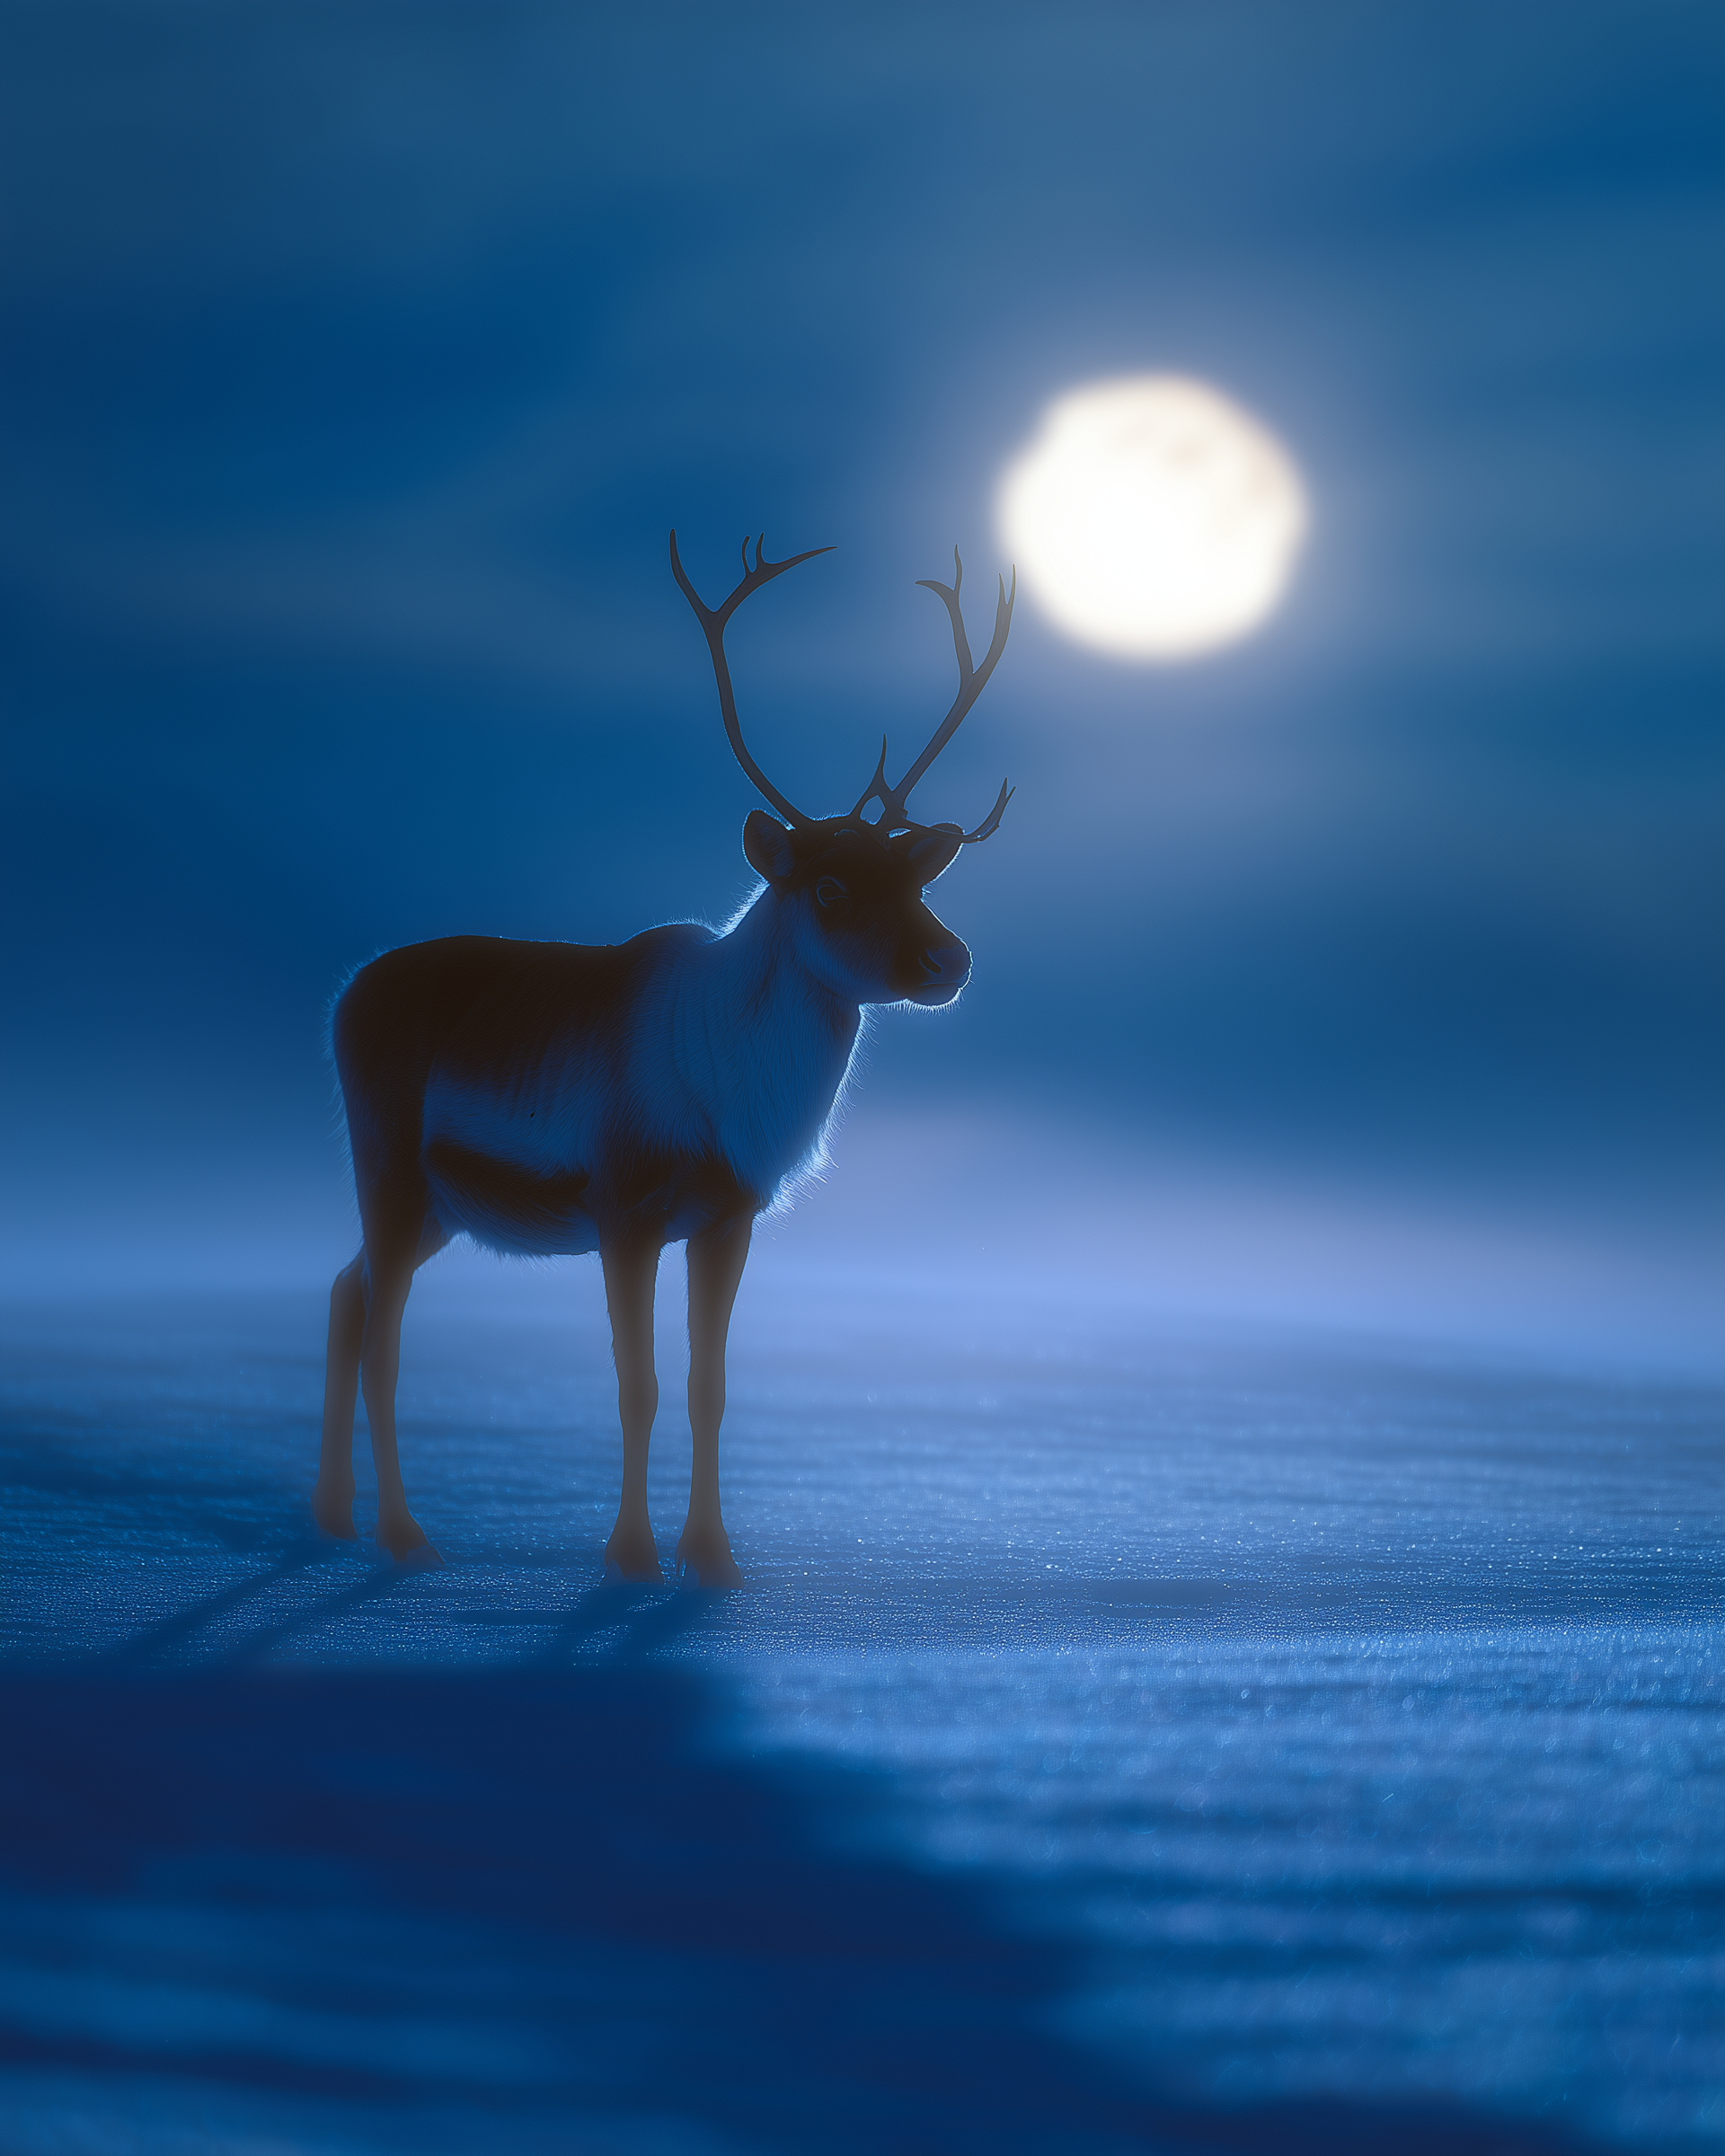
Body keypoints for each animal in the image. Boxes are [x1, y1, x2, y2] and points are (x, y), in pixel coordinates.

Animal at [312, 532, 1014, 1584]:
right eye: (830, 886)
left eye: (916, 880)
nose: (950, 959)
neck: (732, 1086)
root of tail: (347, 994)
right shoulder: (623, 1205)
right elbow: (636, 1384)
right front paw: (632, 1555)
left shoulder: (728, 1216)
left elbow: (705, 1386)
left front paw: (714, 1559)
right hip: (390, 1165)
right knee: (382, 1333)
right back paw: (404, 1534)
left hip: (440, 1203)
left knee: (345, 1293)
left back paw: (334, 1515)